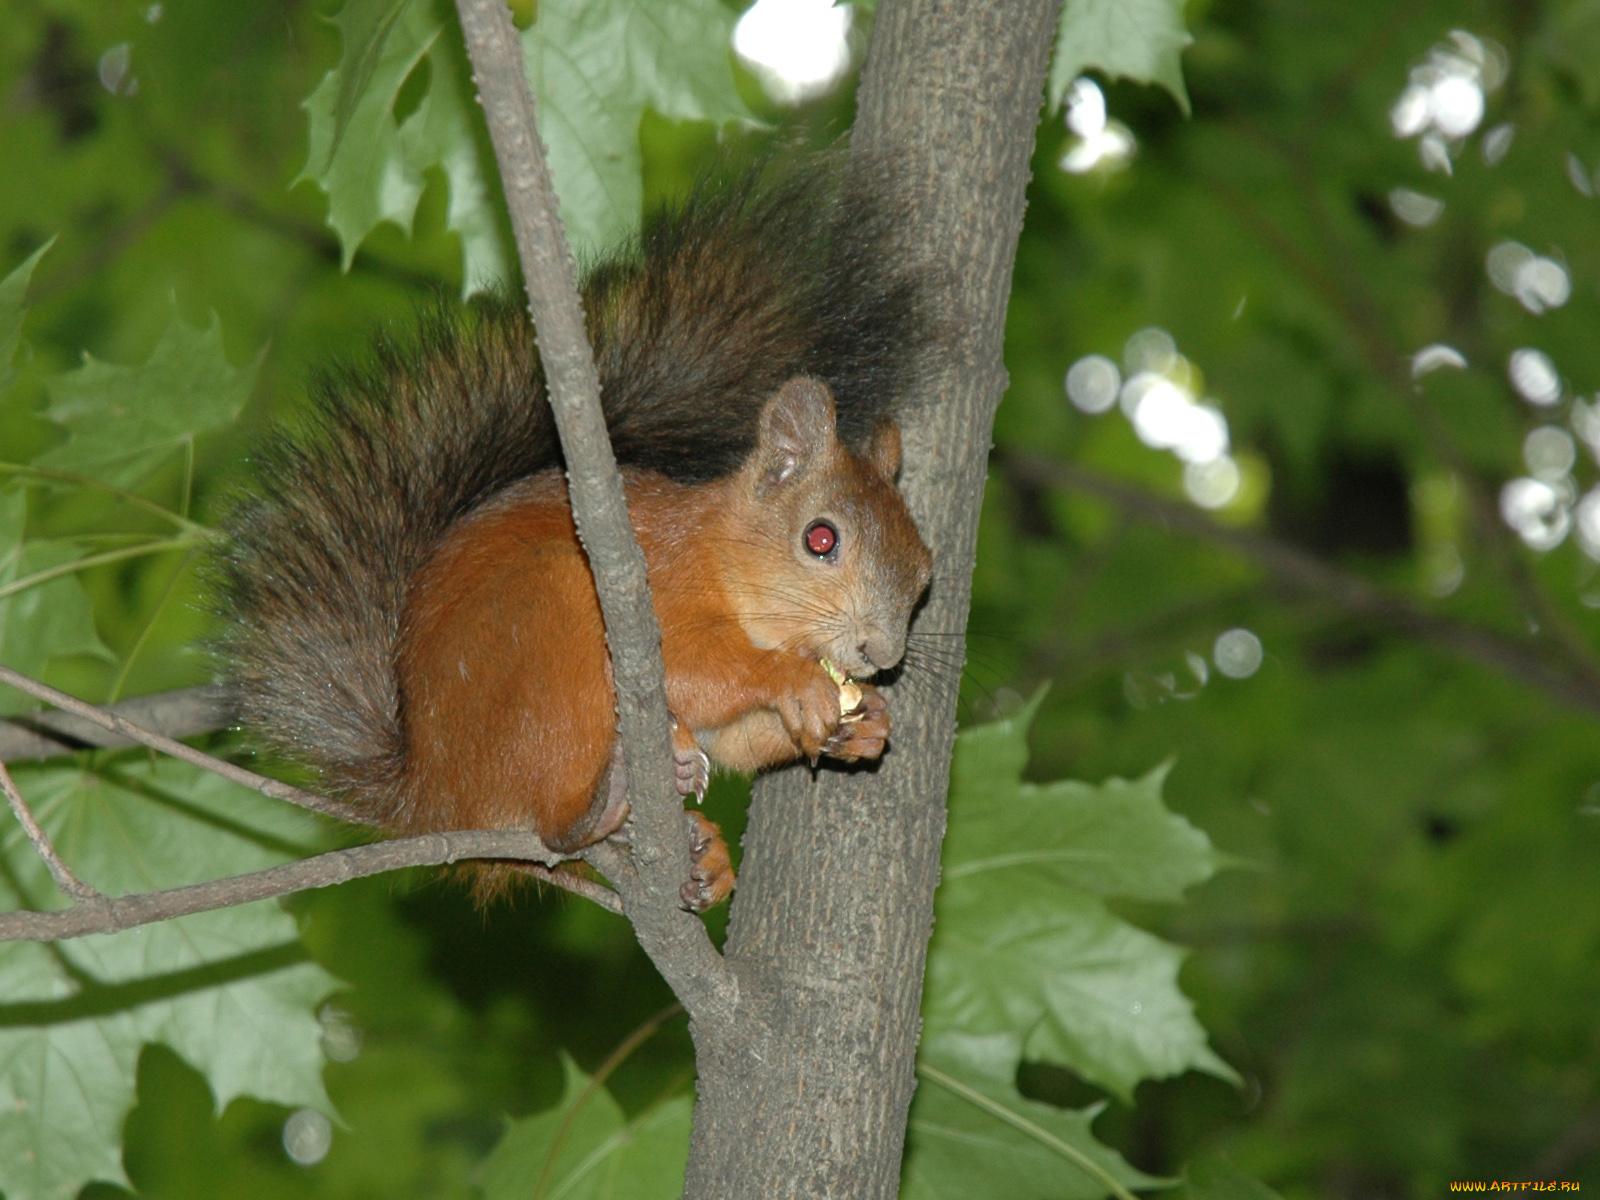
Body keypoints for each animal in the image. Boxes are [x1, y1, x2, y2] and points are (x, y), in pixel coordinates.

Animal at [219, 157, 934, 908]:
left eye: (925, 573)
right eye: (820, 539)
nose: (881, 653)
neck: (723, 556)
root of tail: (430, 799)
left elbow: (741, 738)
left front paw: (866, 724)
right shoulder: (661, 581)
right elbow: (694, 667)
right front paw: (791, 681)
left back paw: (698, 851)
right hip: (552, 623)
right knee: (556, 825)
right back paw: (613, 795)